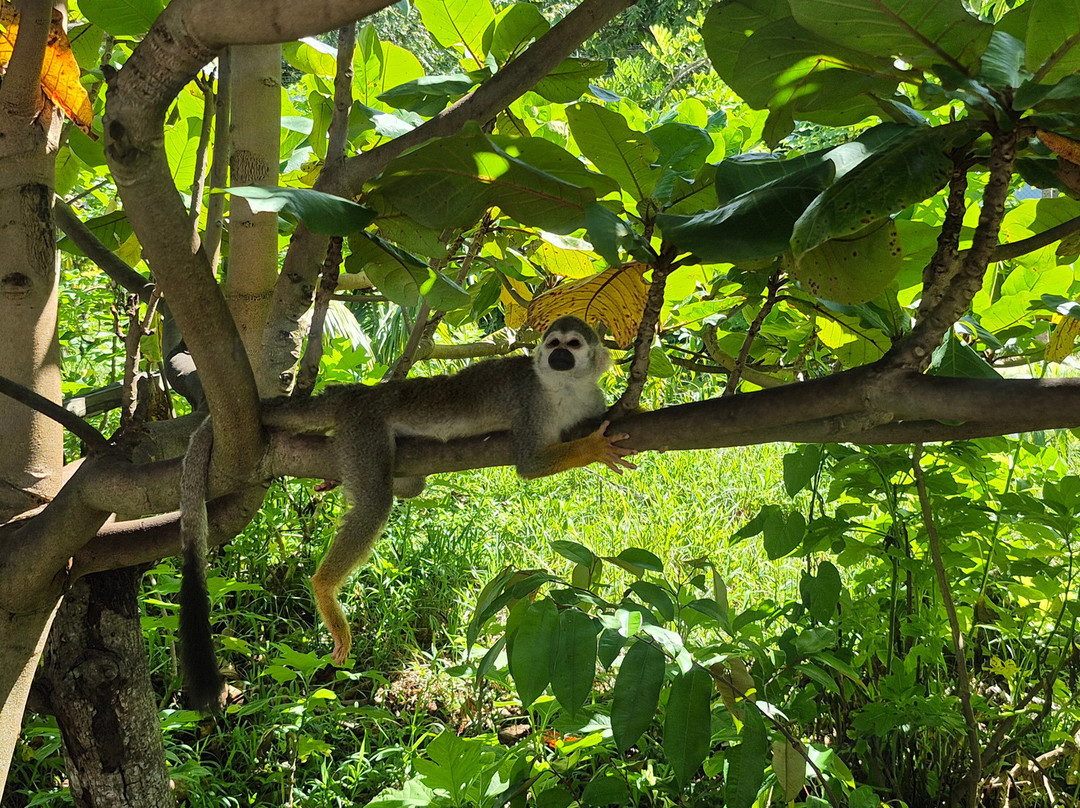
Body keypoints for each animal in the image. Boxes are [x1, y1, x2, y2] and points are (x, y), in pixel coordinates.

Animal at [178, 316, 636, 710]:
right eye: (553, 344)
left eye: (573, 346)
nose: (557, 356)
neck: (565, 388)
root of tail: (360, 392)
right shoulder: (531, 403)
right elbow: (530, 464)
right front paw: (592, 448)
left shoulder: (590, 399)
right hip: (363, 429)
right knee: (375, 502)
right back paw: (325, 588)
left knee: (409, 486)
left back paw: (338, 481)